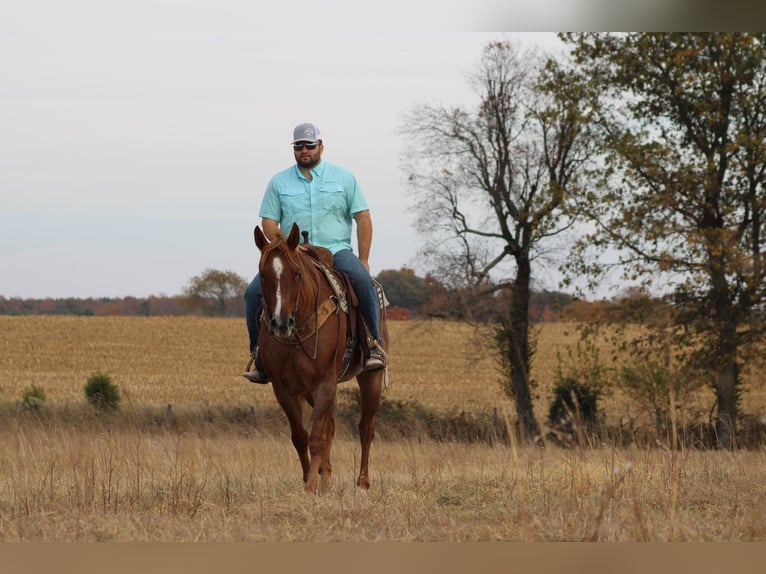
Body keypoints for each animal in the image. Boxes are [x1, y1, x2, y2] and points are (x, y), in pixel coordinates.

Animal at [255, 224, 390, 496]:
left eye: (296, 273)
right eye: (263, 275)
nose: (281, 324)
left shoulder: (324, 382)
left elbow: (317, 436)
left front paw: (311, 488)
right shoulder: (284, 389)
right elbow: (300, 436)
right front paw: (312, 478)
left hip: (371, 378)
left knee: (365, 428)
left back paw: (362, 484)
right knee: (331, 425)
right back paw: (327, 477)